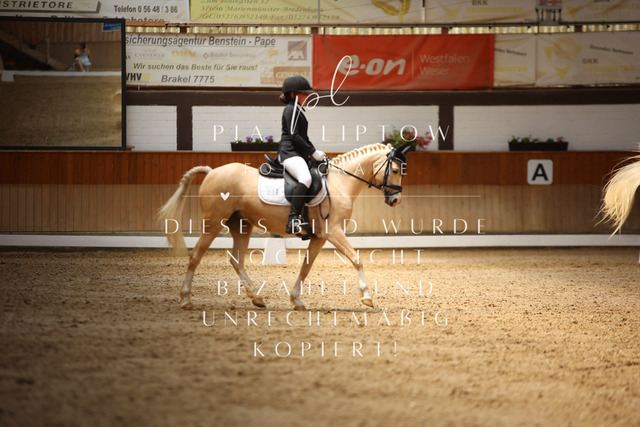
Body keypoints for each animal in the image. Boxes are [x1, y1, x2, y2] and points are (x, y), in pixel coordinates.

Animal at [157, 143, 411, 310]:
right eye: (394, 171)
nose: (395, 200)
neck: (340, 182)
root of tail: (211, 172)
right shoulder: (334, 232)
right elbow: (356, 258)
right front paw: (367, 297)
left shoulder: (320, 237)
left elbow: (306, 267)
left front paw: (296, 300)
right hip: (212, 224)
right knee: (196, 256)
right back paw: (186, 299)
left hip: (242, 225)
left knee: (236, 259)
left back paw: (256, 298)